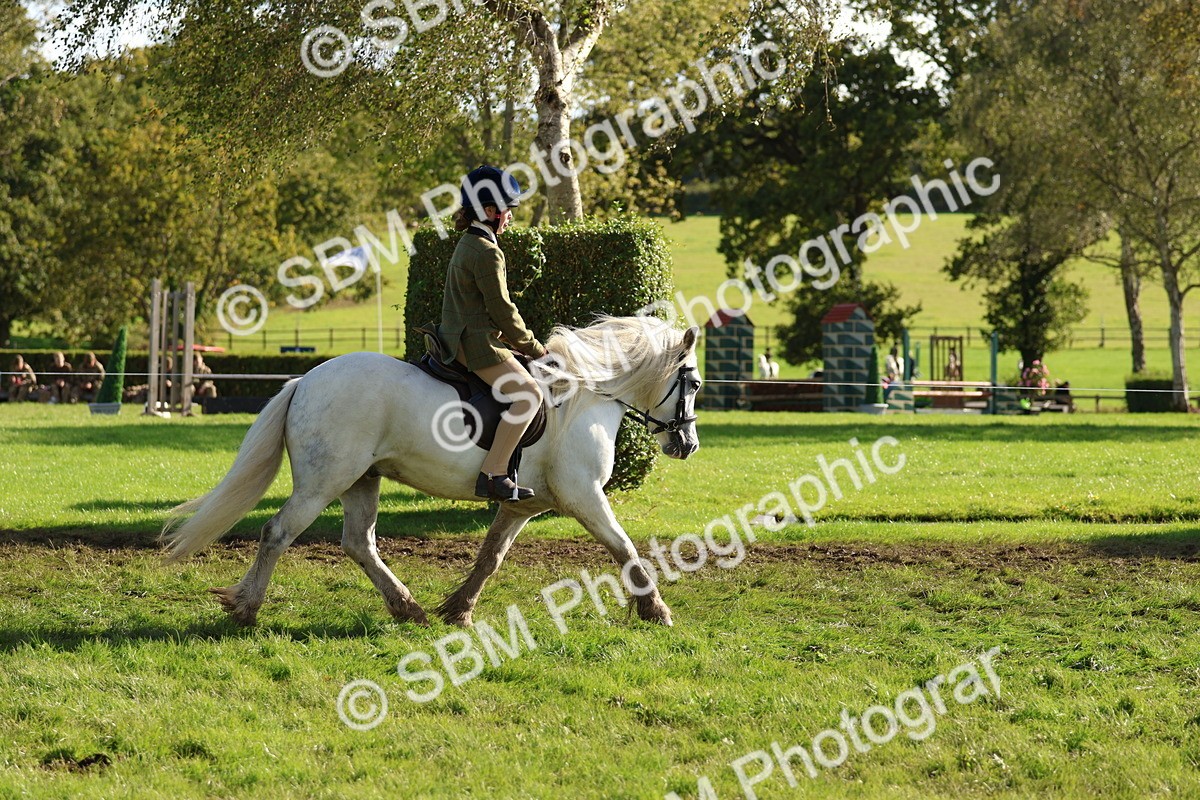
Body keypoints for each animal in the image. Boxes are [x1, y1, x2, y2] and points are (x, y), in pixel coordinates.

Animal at [160, 316, 702, 628]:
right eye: (693, 383)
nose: (689, 445)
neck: (586, 396)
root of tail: (305, 381)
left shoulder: (521, 506)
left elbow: (490, 558)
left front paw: (457, 609)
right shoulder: (584, 495)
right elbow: (624, 547)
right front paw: (656, 610)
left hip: (361, 480)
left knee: (359, 543)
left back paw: (408, 608)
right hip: (323, 482)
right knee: (278, 532)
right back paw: (246, 607)